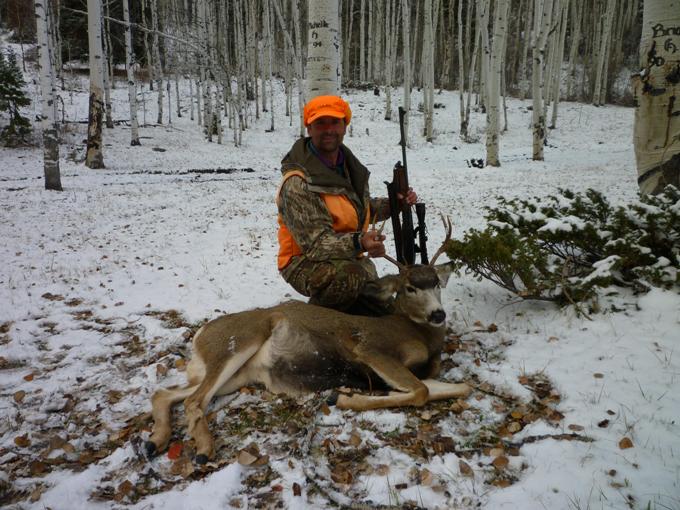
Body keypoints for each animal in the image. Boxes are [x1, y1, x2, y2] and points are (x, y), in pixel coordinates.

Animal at [146, 219, 470, 462]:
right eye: (409, 287)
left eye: (437, 283)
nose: (438, 314)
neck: (420, 335)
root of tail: (200, 335)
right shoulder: (370, 348)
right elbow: (420, 391)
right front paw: (343, 398)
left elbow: (459, 388)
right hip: (238, 342)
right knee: (193, 400)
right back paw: (202, 448)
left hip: (237, 376)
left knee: (167, 393)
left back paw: (155, 441)